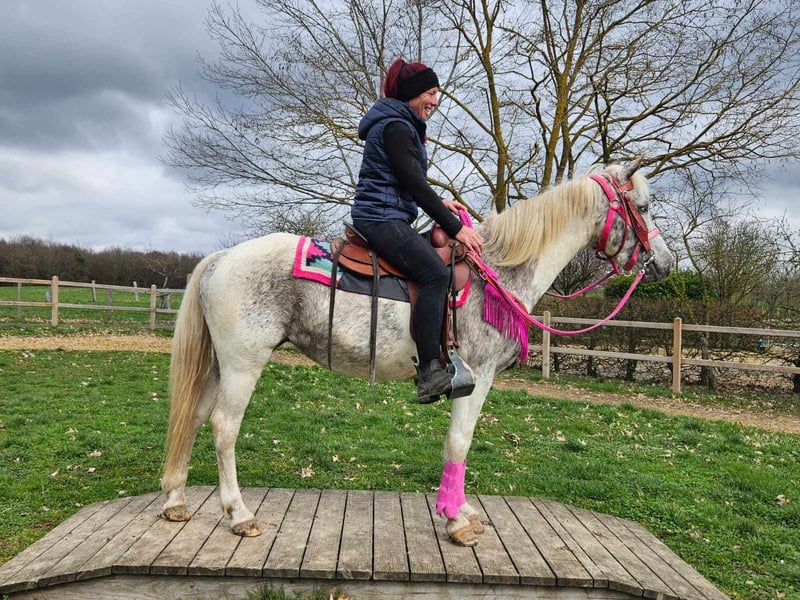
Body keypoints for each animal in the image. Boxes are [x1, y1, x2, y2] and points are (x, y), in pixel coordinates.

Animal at [161, 158, 674, 546]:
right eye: (644, 207)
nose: (665, 264)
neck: (500, 271)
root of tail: (220, 259)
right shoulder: (476, 375)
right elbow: (459, 441)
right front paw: (456, 520)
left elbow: (457, 444)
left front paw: (460, 510)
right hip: (243, 364)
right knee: (224, 427)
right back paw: (239, 514)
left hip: (220, 365)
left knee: (194, 415)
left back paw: (176, 502)